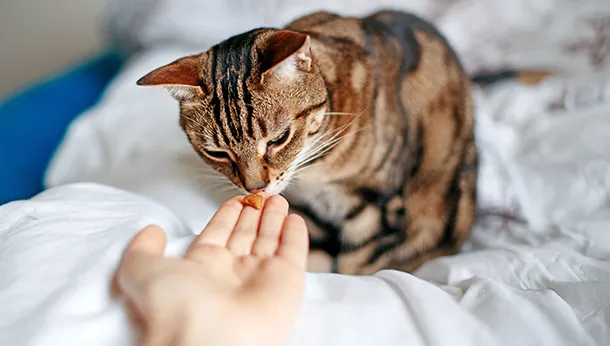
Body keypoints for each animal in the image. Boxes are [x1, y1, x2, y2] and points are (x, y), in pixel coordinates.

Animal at [137, 10, 548, 274]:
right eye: (216, 152)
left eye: (278, 139)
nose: (255, 188)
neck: (316, 171)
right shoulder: (310, 215)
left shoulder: (376, 212)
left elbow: (354, 266)